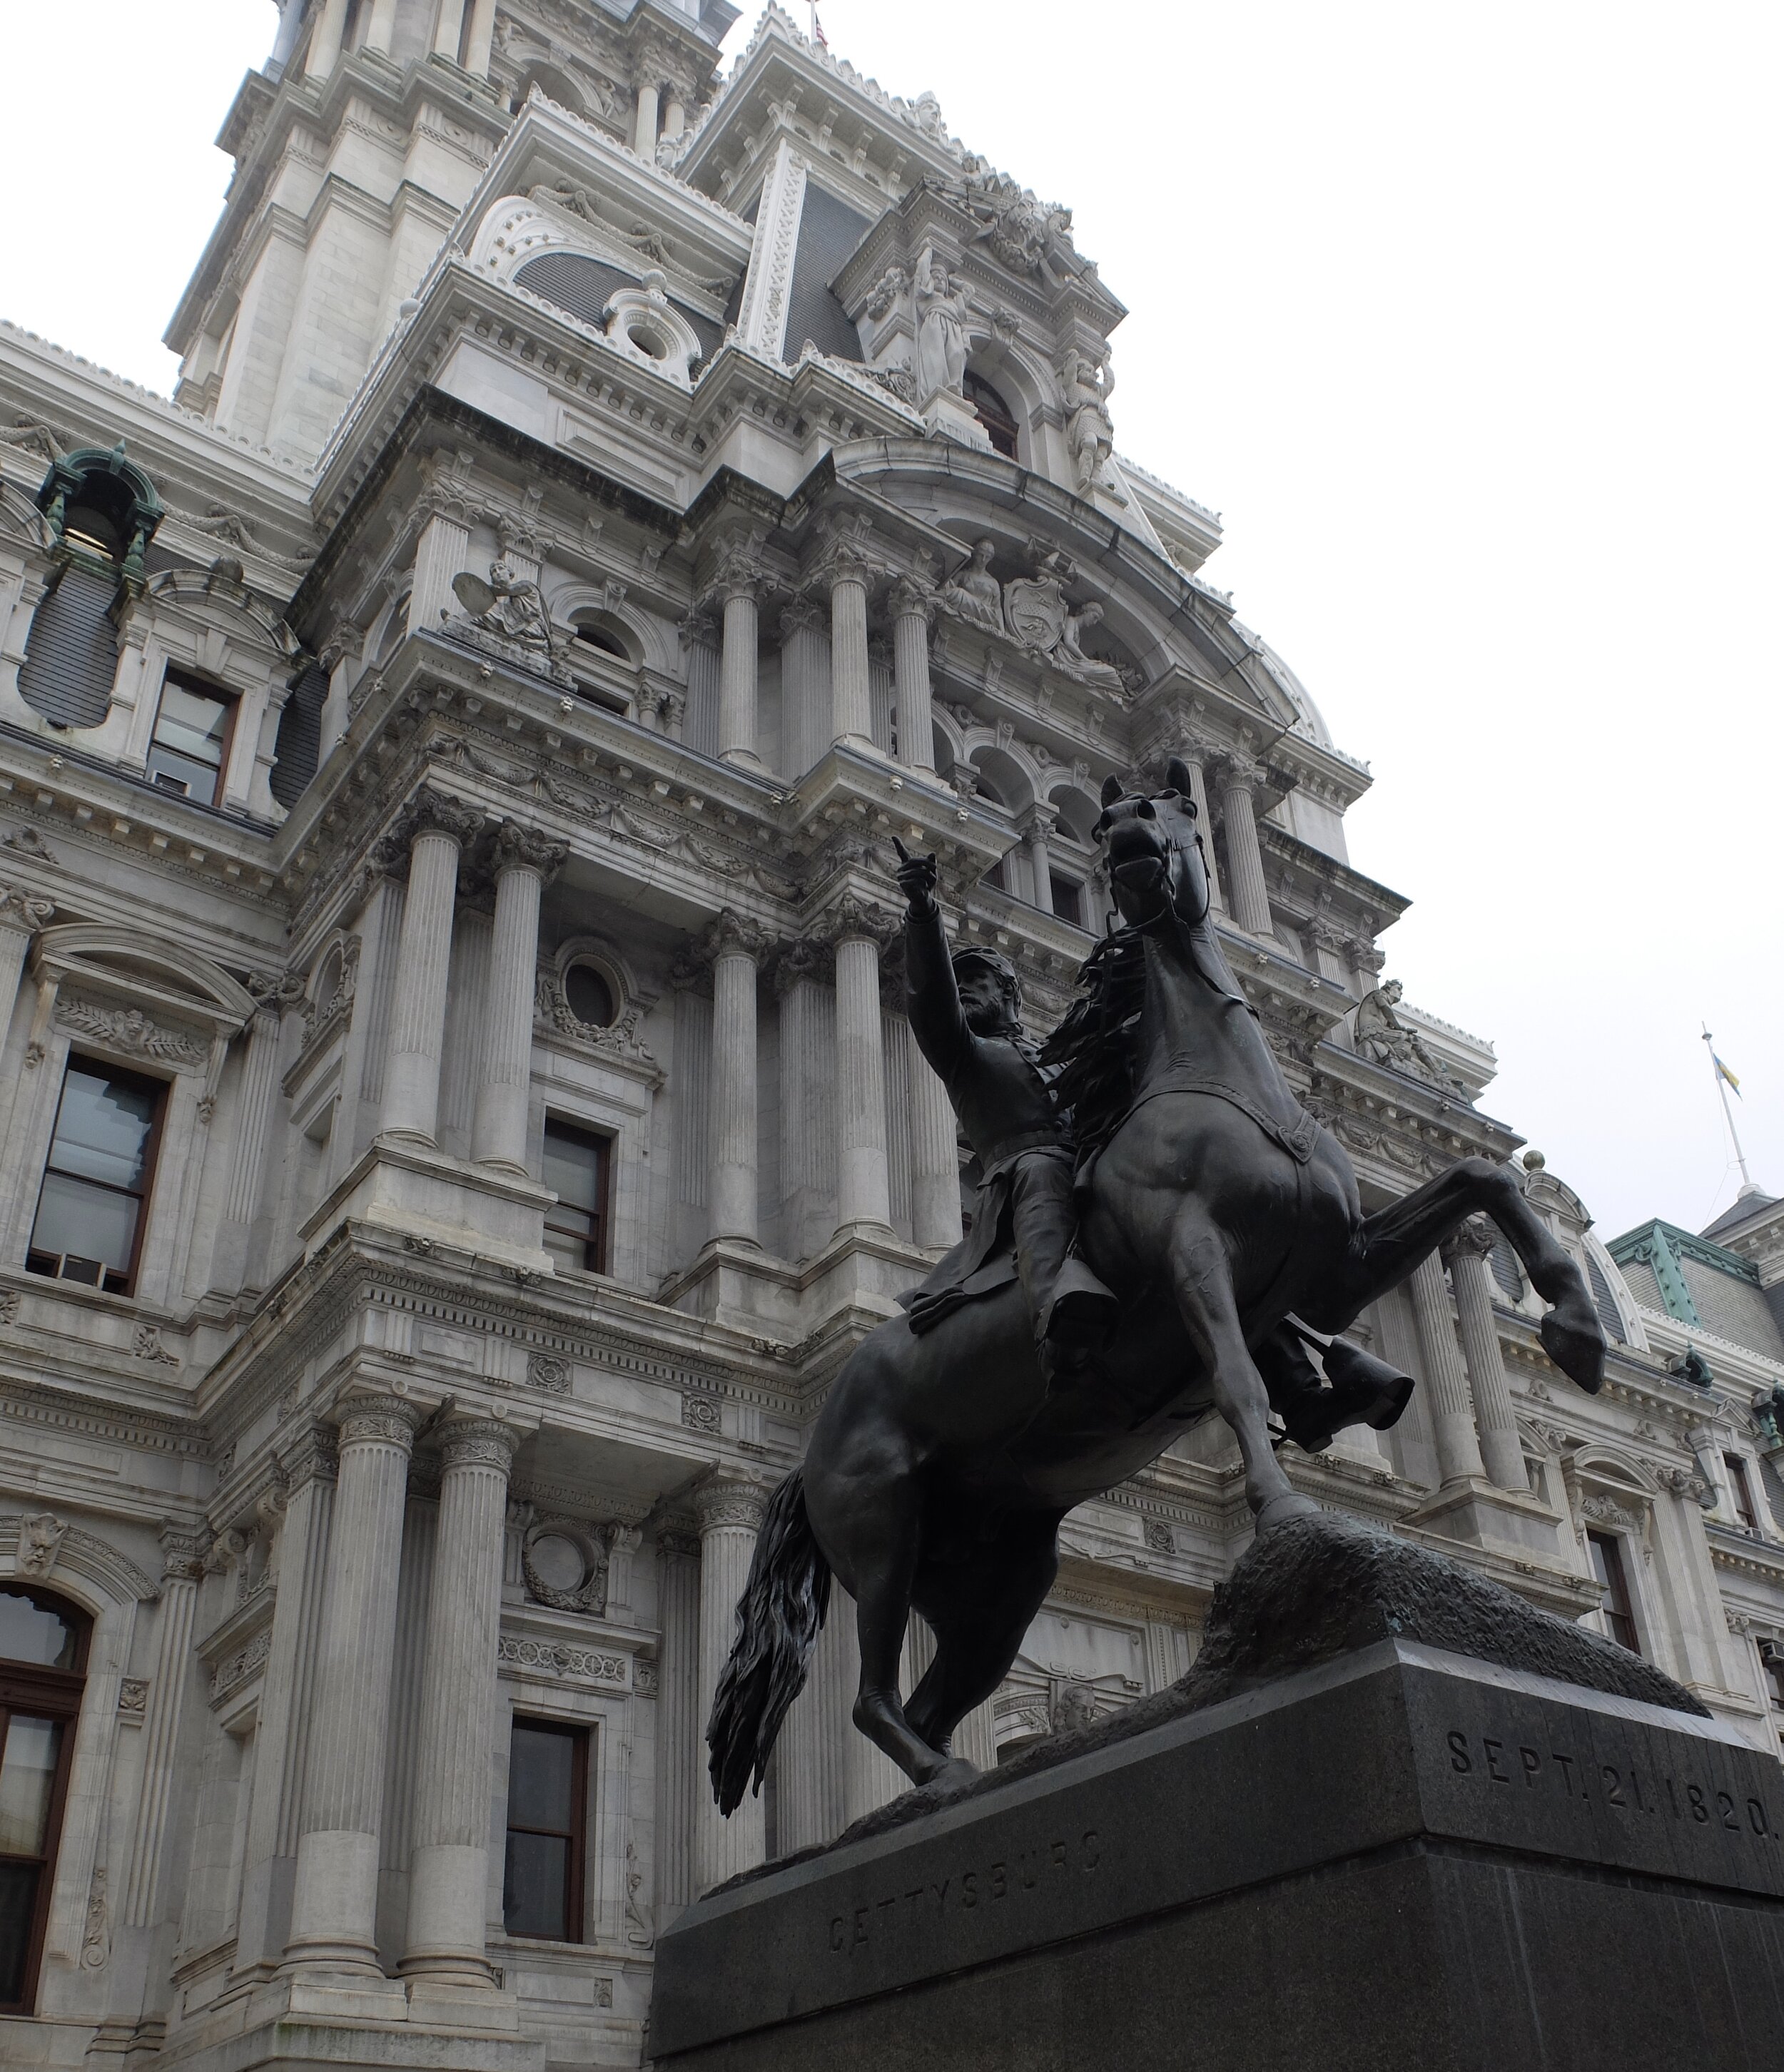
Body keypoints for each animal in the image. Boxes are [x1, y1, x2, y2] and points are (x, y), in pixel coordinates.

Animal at [704, 758, 1608, 1814]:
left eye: (1177, 809)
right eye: (1110, 823)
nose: (1131, 831)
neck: (1217, 1083)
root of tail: (809, 1447)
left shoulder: (1333, 1269)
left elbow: (1480, 1179)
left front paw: (1577, 1329)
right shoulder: (1192, 1256)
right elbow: (1237, 1381)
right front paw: (1289, 1509)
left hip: (995, 1583)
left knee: (927, 1698)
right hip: (879, 1525)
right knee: (870, 1700)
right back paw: (938, 1784)